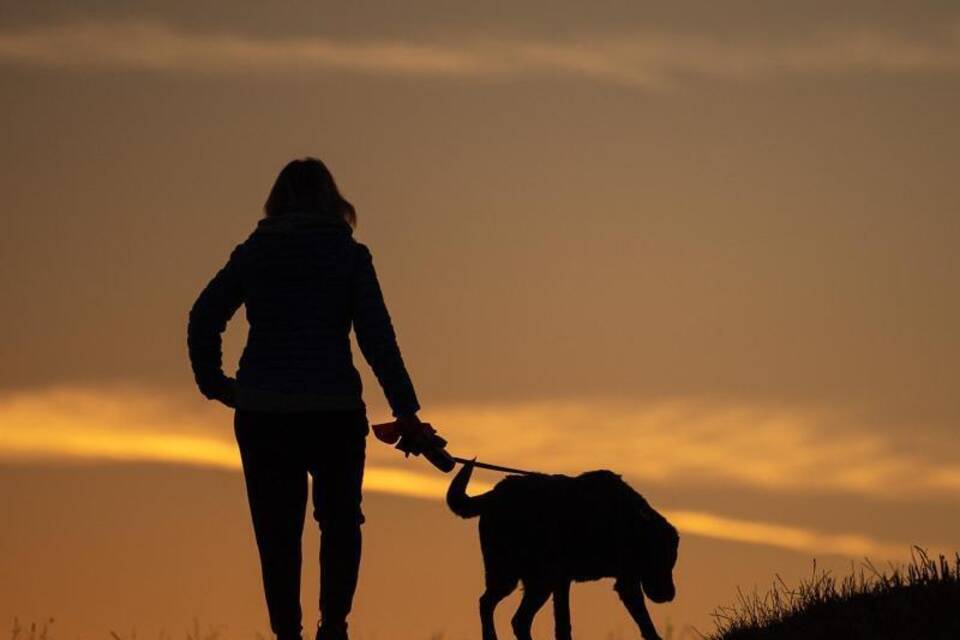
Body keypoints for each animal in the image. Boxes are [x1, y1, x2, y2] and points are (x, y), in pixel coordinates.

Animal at [448, 462, 680, 640]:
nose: (670, 596)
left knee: (518, 620)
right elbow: (564, 625)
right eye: (662, 560)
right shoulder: (617, 582)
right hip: (511, 574)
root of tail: (495, 494)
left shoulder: (617, 579)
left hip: (537, 583)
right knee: (488, 605)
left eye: (672, 563)